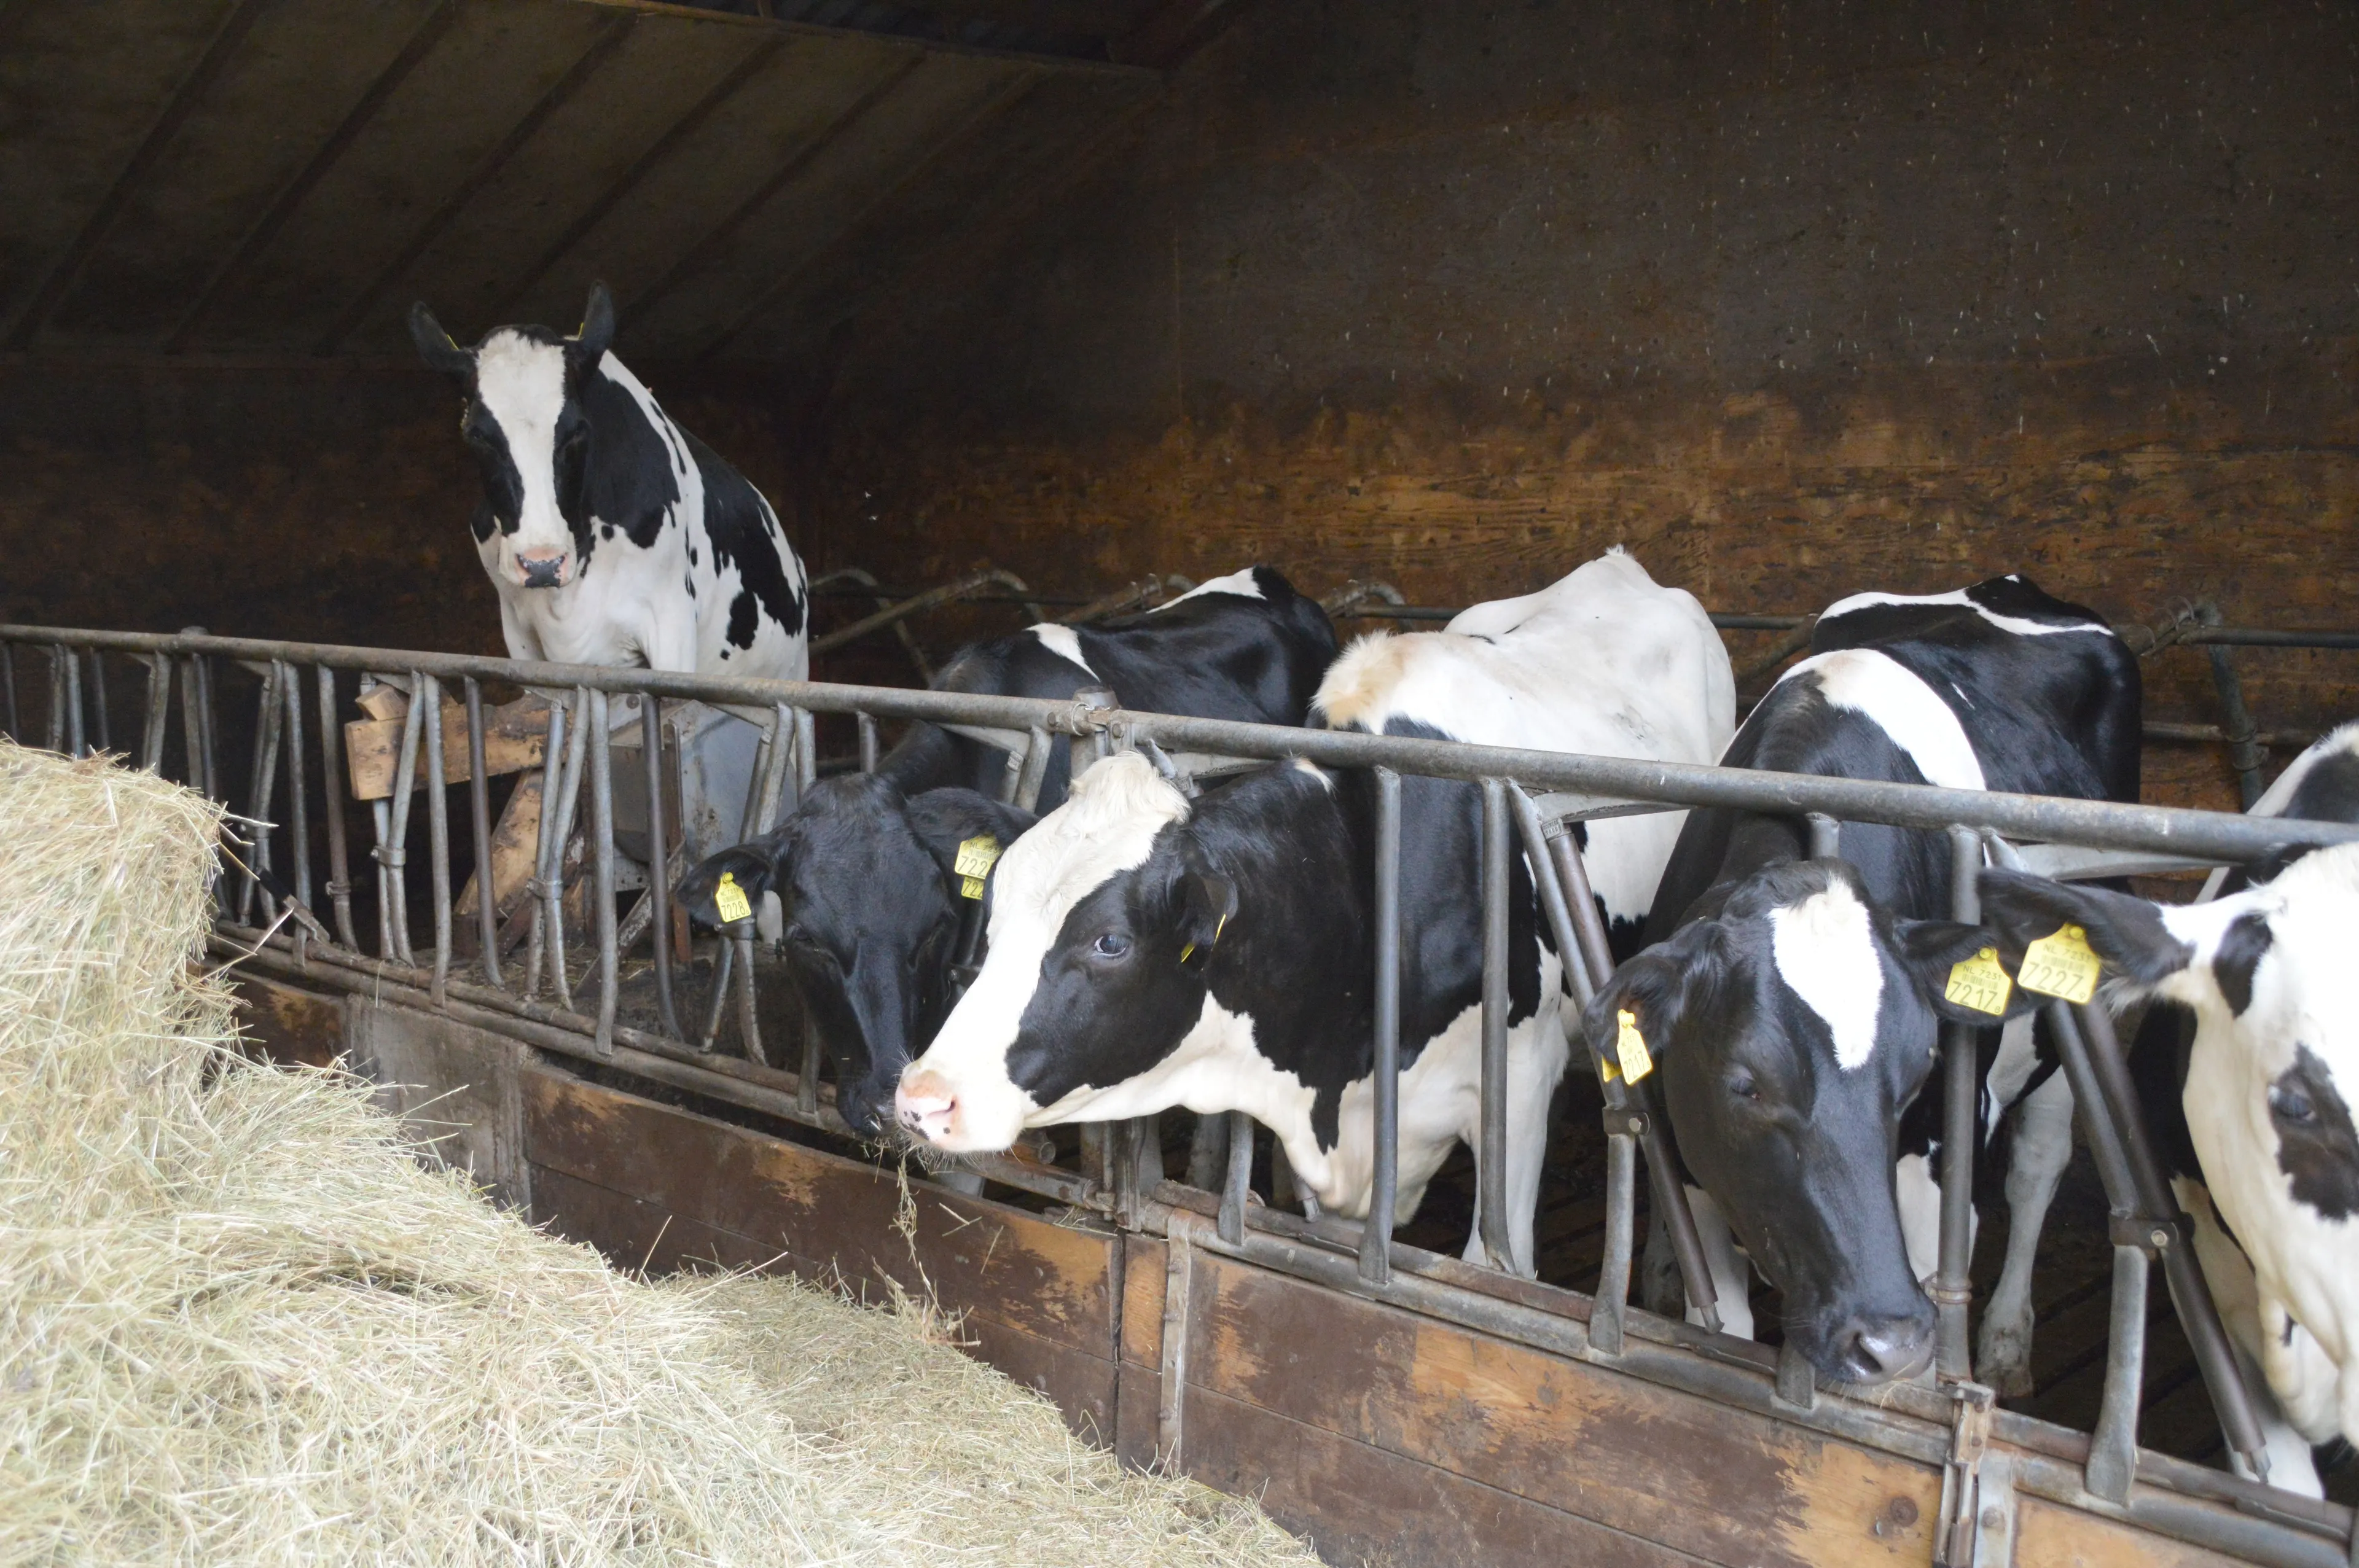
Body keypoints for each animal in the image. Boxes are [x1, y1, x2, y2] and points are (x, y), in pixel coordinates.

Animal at [1581, 575, 2139, 1388]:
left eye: (1919, 1073)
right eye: (1745, 1086)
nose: (1886, 1337)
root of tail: (2008, 585)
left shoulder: (1943, 1160)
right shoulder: (1698, 1153)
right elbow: (1725, 1323)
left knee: (2039, 1162)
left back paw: (2007, 1342)